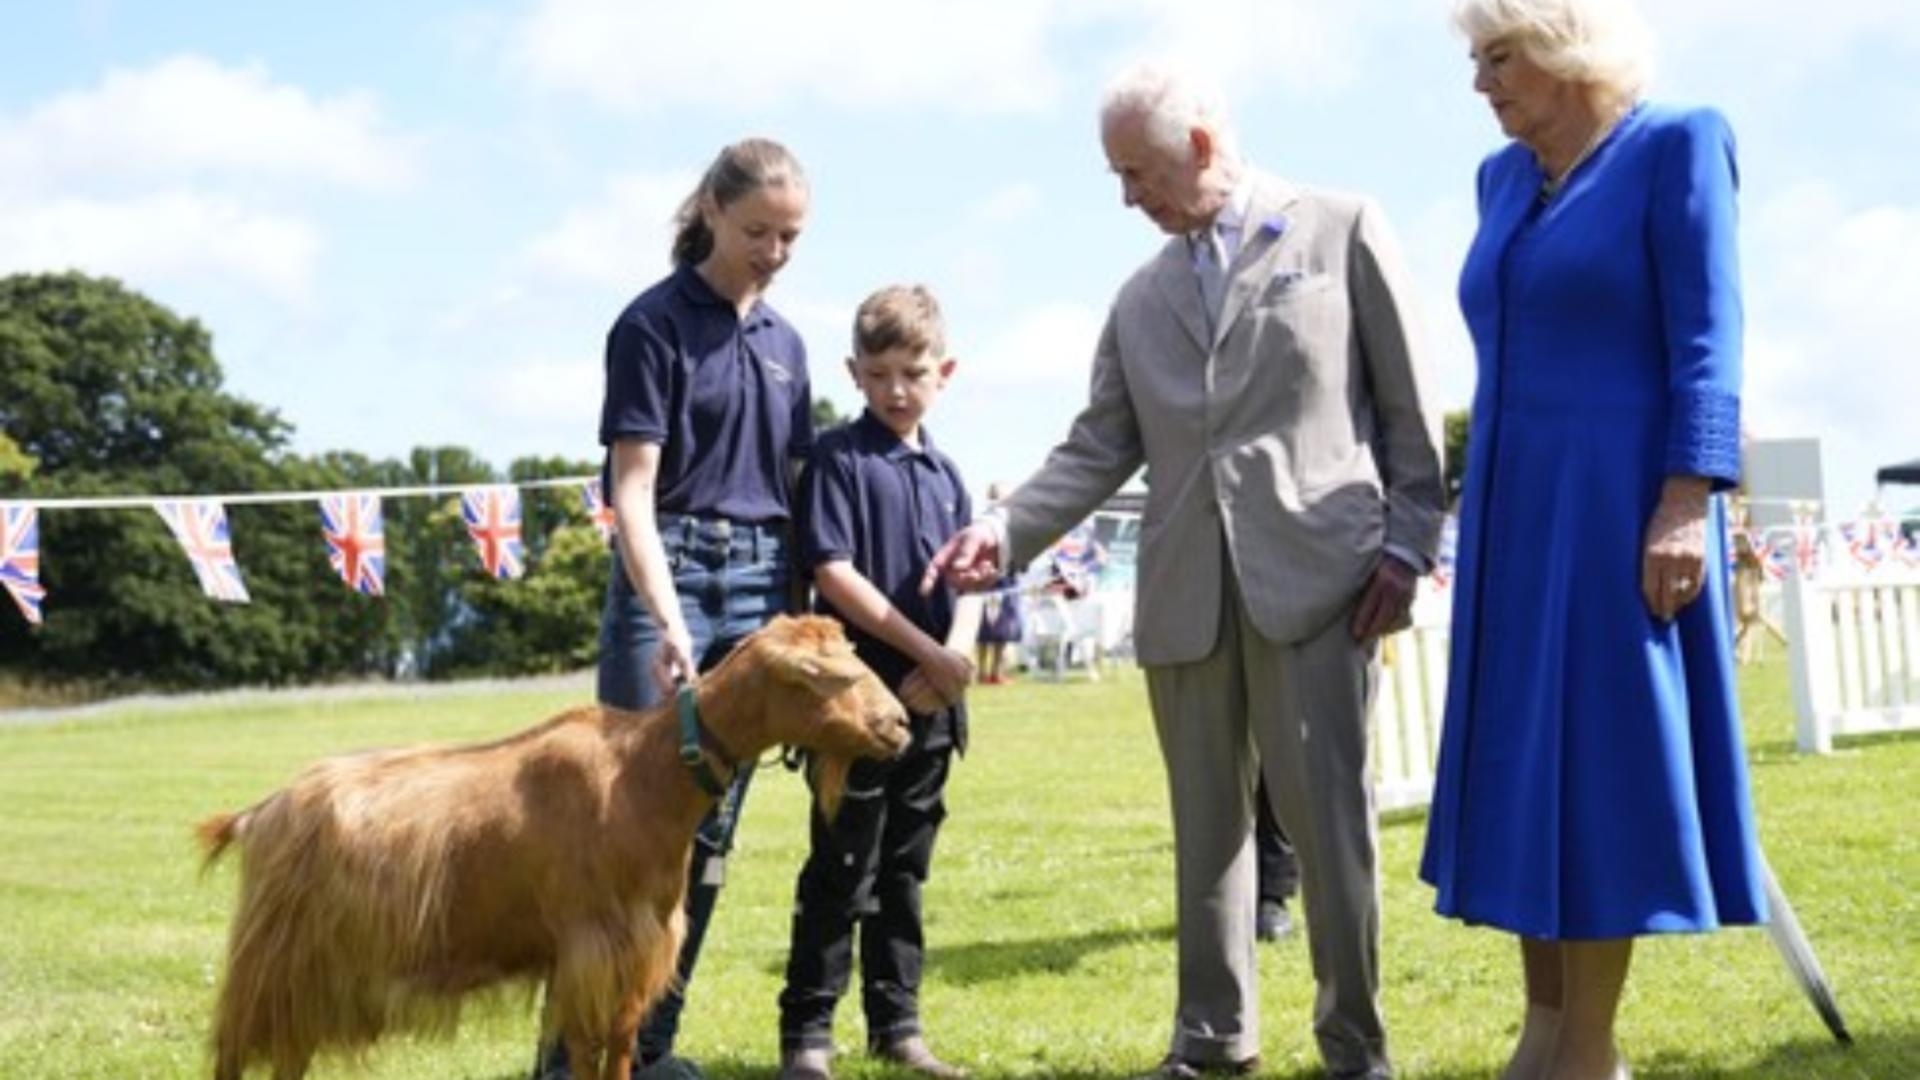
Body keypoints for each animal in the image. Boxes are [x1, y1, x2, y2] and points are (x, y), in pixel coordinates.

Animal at [198, 614, 910, 1076]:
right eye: (826, 676)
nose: (900, 724)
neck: (646, 773)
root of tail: (260, 813)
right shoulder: (591, 954)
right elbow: (590, 1055)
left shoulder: (634, 958)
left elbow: (617, 1054)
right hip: (275, 963)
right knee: (235, 1051)